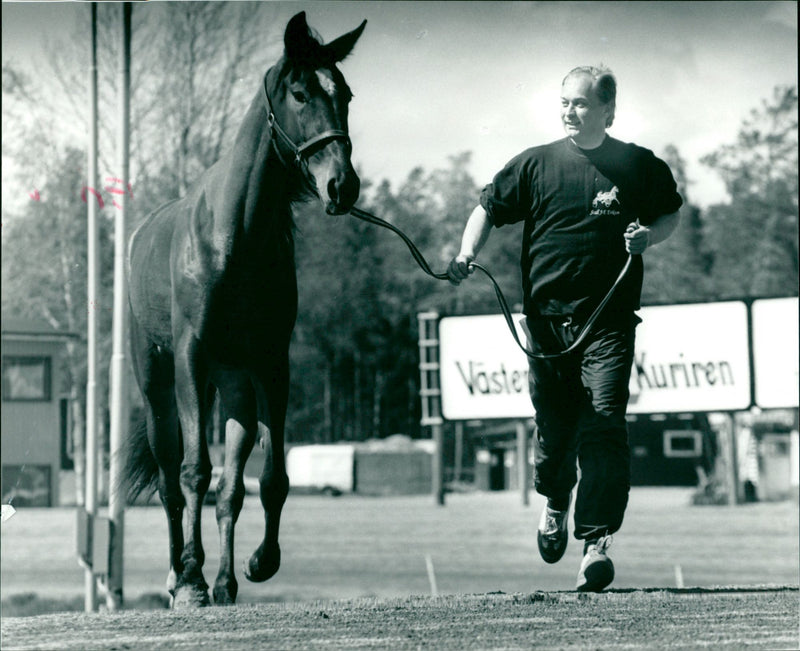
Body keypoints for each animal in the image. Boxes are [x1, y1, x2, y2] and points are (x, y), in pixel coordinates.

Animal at [125, 12, 366, 608]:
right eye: (300, 94)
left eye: (346, 95)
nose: (343, 185)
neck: (235, 236)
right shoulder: (190, 357)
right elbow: (193, 471)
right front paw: (191, 578)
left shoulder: (271, 363)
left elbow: (270, 478)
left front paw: (260, 562)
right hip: (157, 384)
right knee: (170, 481)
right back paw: (179, 577)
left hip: (233, 385)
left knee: (230, 489)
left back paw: (225, 581)